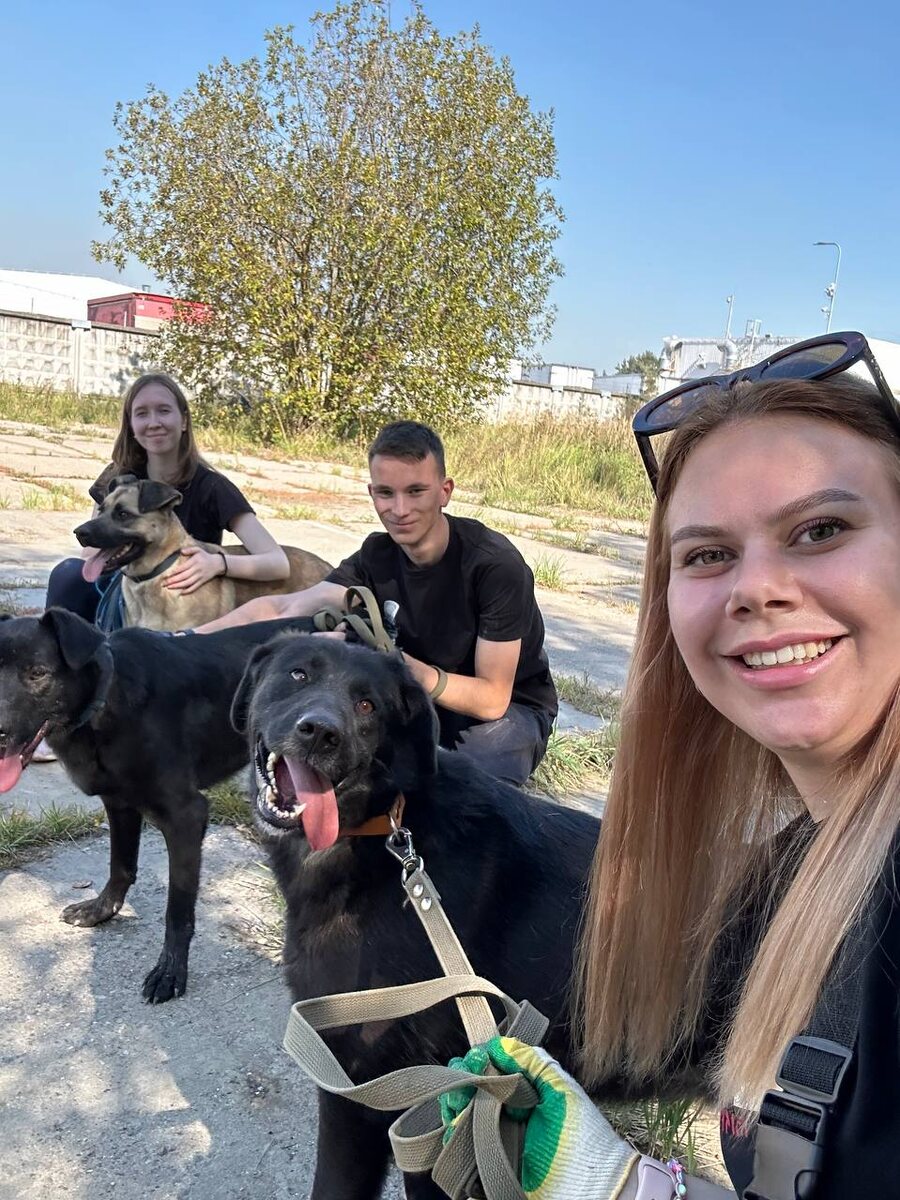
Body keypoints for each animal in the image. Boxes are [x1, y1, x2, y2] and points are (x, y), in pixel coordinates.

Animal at [0, 608, 314, 1002]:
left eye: (37, 673)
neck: (107, 701)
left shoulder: (186, 817)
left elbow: (177, 909)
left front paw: (171, 971)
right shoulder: (119, 804)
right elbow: (121, 866)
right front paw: (101, 910)